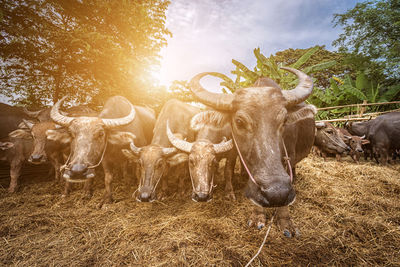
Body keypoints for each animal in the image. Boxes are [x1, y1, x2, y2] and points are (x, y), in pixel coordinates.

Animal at [187, 68, 316, 238]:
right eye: (239, 121)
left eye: (285, 120)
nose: (276, 193)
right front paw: (258, 216)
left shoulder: (289, 157)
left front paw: (286, 222)